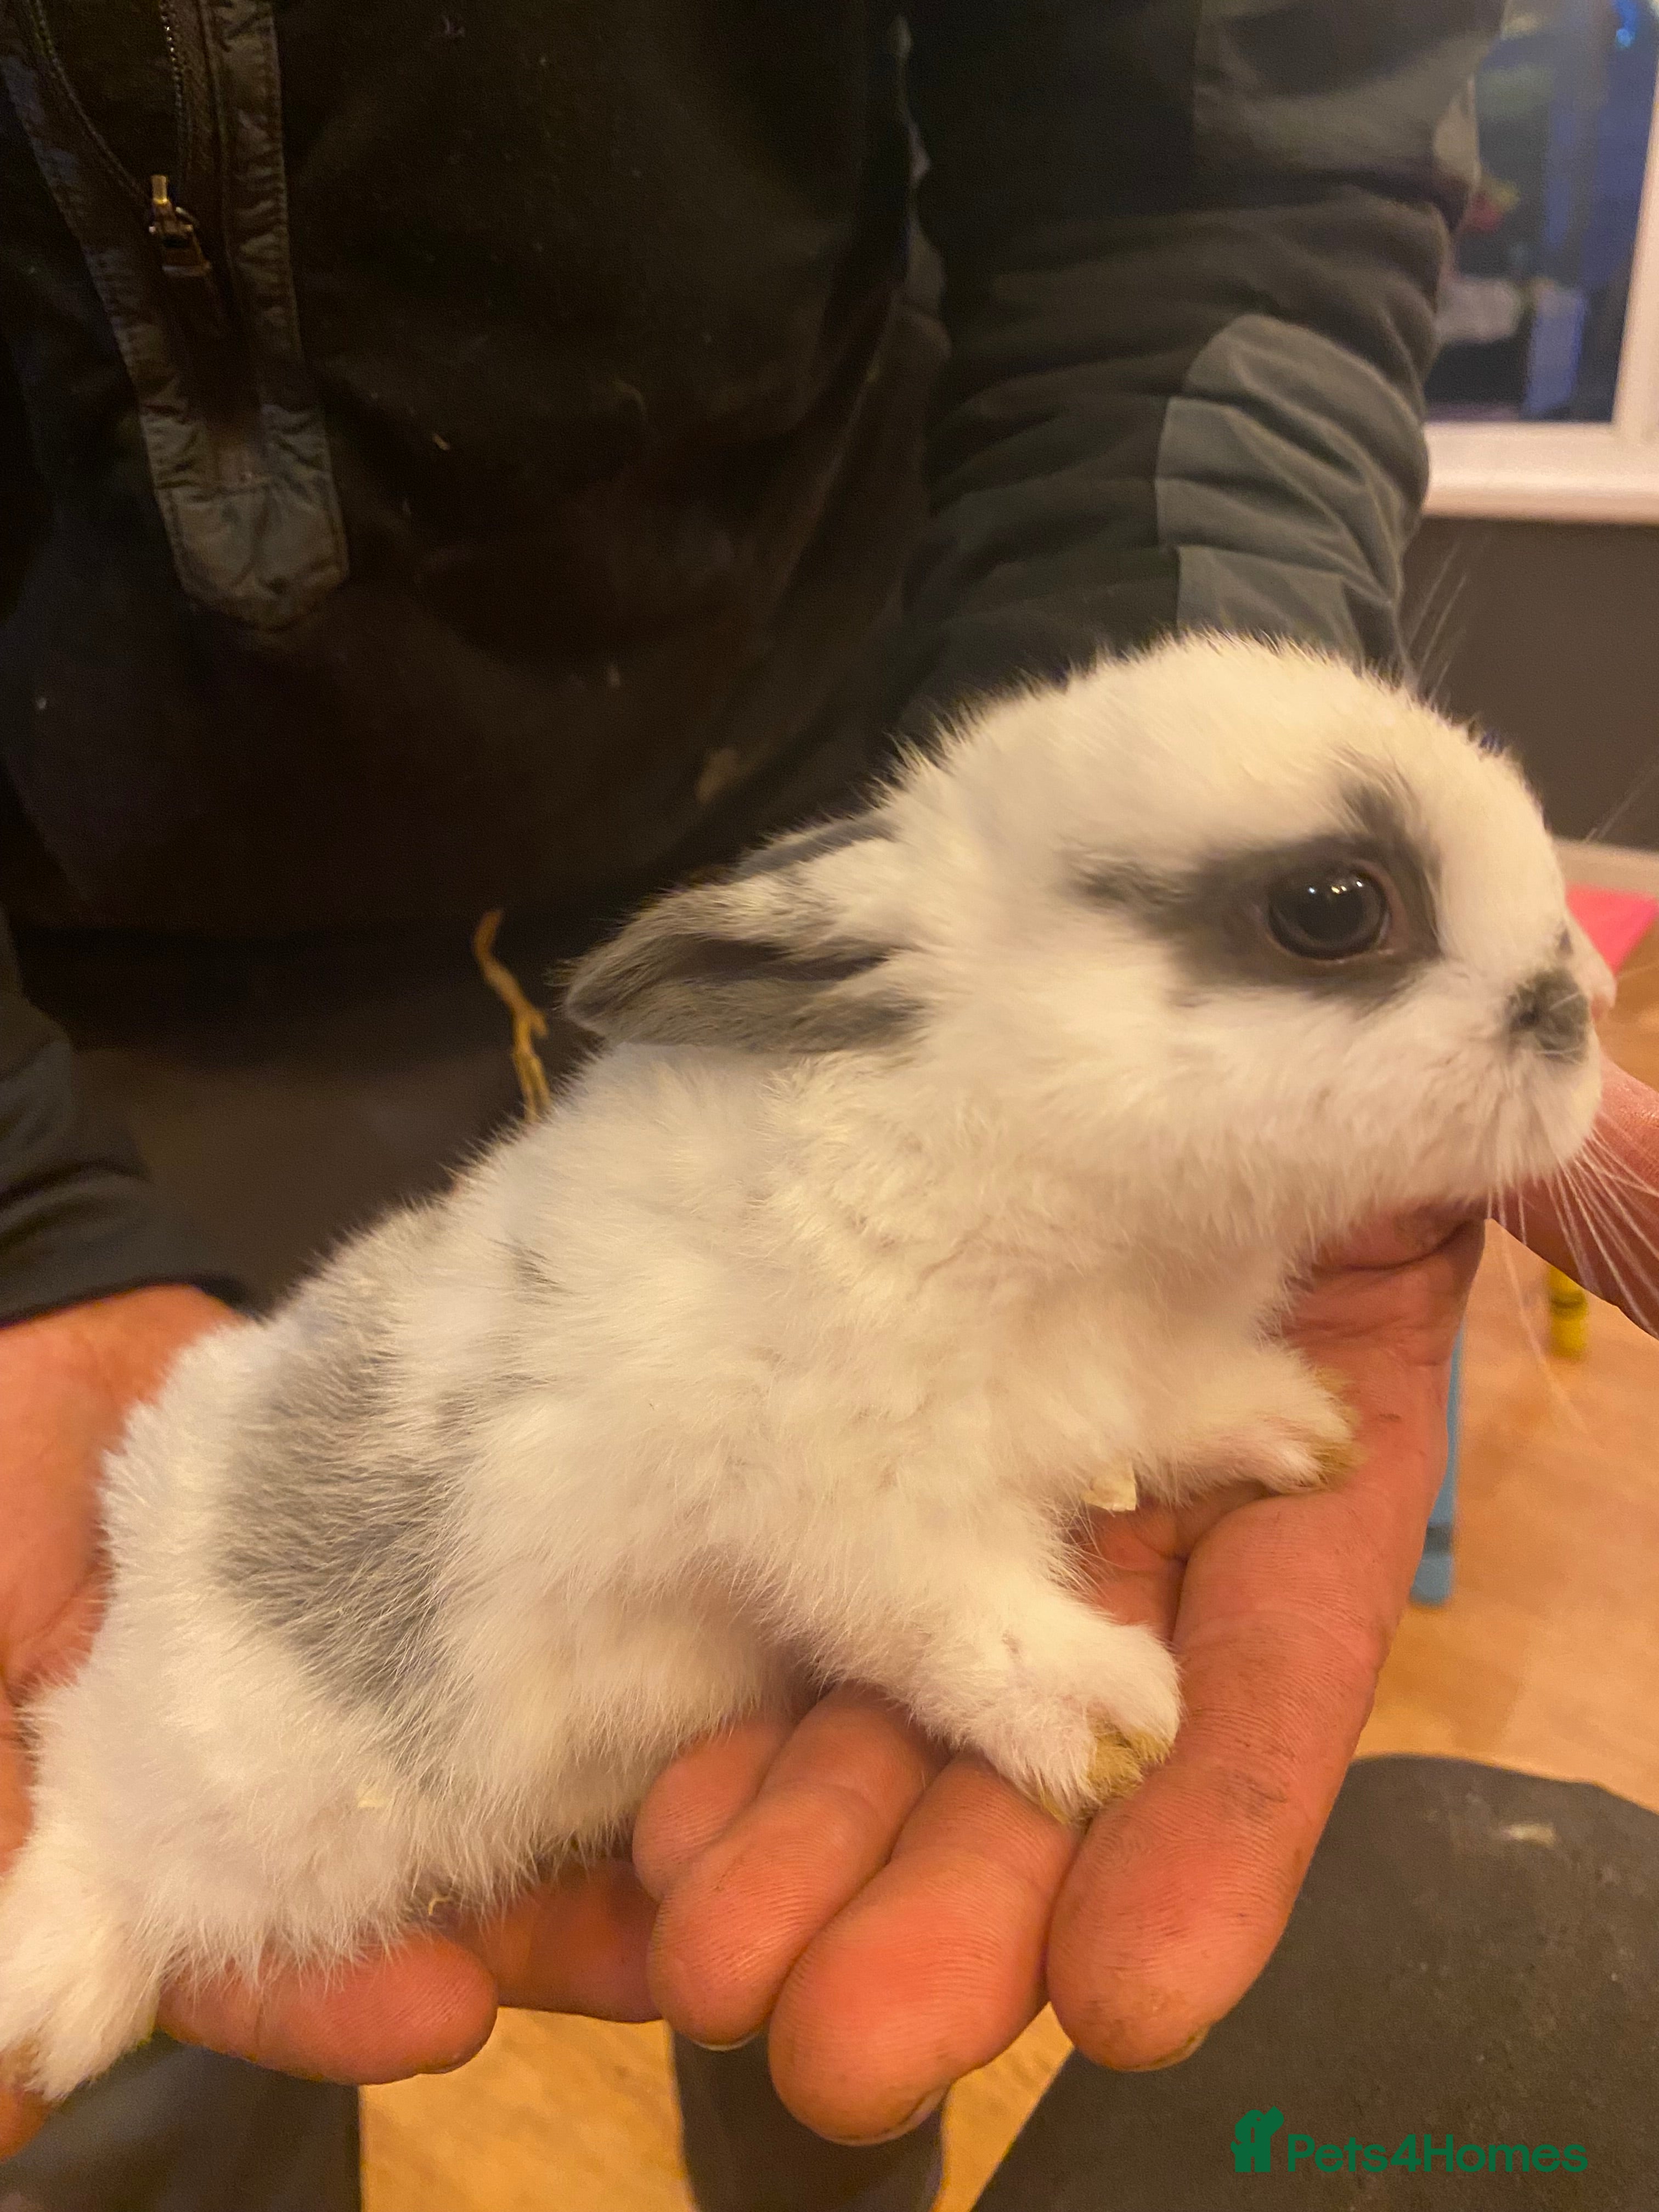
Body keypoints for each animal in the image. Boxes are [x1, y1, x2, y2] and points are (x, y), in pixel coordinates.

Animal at [0, 635, 1612, 2100]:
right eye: (1332, 908)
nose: (1585, 1001)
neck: (1001, 1141)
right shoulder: (847, 1507)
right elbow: (960, 1624)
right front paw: (1110, 1724)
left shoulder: (1121, 1375)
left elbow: (1168, 1414)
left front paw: (1294, 1430)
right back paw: (53, 1999)